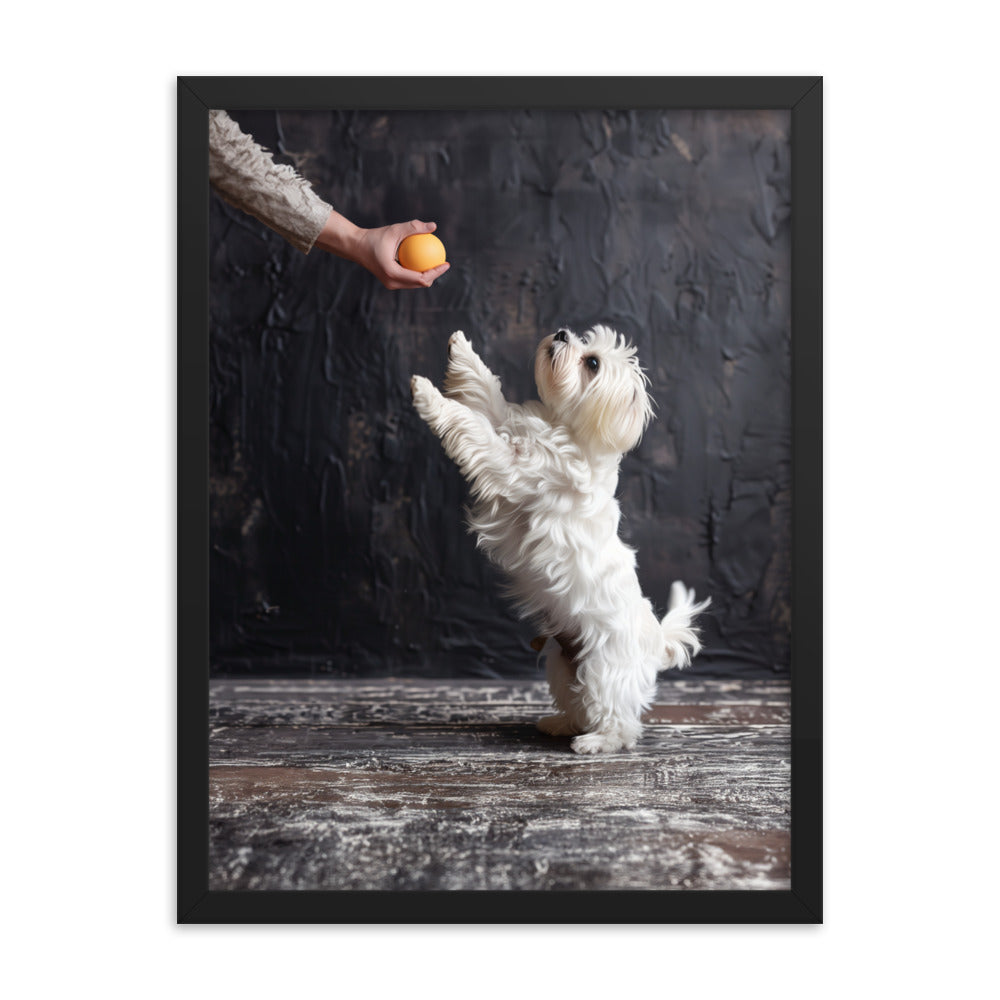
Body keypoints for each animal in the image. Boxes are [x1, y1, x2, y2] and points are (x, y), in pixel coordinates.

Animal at [410, 324, 708, 752]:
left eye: (592, 363)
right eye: (584, 340)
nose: (563, 332)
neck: (564, 428)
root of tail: (655, 641)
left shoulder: (508, 463)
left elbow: (472, 425)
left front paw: (427, 395)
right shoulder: (509, 426)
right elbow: (486, 392)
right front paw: (462, 351)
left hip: (604, 670)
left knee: (621, 722)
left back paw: (596, 743)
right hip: (562, 665)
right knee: (577, 703)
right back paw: (561, 724)